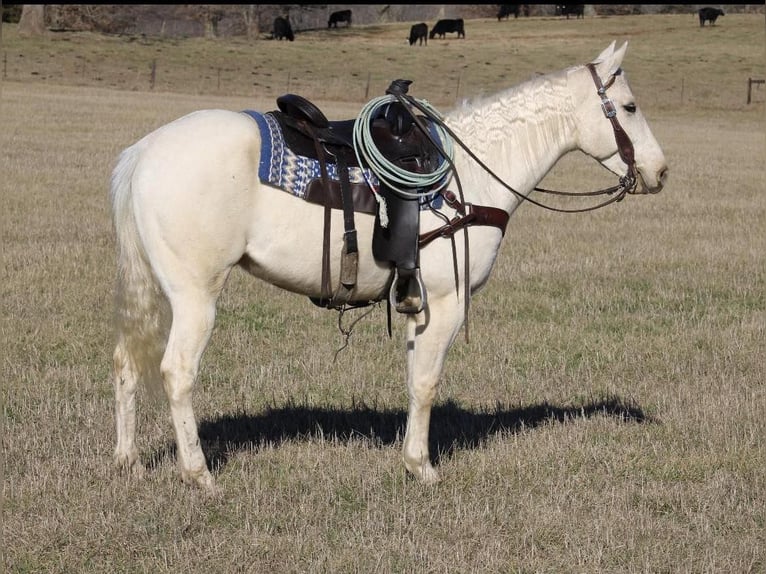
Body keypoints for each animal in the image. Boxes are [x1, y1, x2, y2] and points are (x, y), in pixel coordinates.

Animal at [111, 41, 668, 490]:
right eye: (629, 107)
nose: (660, 172)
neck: (468, 175)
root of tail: (144, 151)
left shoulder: (418, 304)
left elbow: (414, 378)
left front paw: (410, 457)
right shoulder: (446, 302)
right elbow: (426, 383)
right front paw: (421, 467)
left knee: (127, 363)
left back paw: (129, 461)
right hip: (196, 296)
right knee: (176, 372)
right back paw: (198, 473)